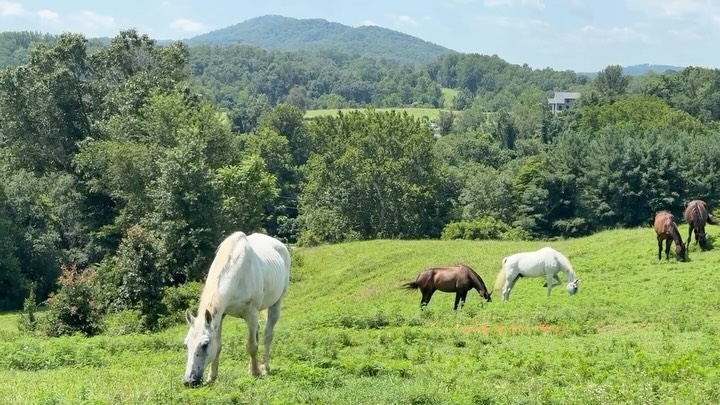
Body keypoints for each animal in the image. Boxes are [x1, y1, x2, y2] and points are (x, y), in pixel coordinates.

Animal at [183, 232, 290, 387]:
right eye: (186, 344)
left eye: (205, 345)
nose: (189, 381)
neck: (238, 275)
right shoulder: (220, 316)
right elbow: (219, 346)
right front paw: (212, 377)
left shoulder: (251, 313)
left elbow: (251, 346)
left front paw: (255, 373)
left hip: (276, 303)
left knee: (267, 336)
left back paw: (265, 368)